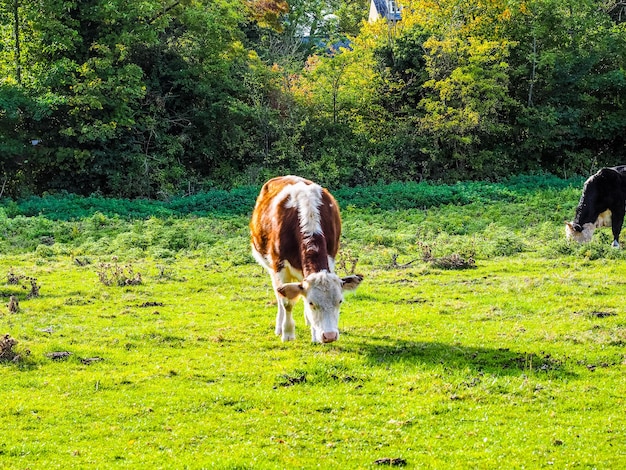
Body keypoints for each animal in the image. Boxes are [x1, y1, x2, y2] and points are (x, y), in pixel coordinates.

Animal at [249, 174, 360, 344]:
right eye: (311, 303)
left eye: (339, 301)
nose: (329, 336)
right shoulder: (280, 266)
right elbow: (287, 302)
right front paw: (287, 333)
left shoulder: (330, 258)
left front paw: (314, 334)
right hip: (270, 266)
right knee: (279, 295)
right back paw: (279, 326)